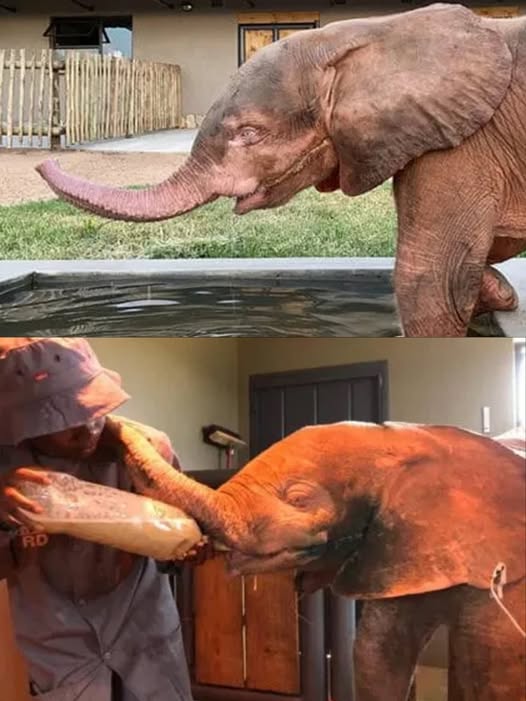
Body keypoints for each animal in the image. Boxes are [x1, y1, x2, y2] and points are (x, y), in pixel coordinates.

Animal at [36, 4, 526, 337]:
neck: (374, 32)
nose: (45, 160)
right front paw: (500, 293)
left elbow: (432, 279)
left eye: (250, 133)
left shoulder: (463, 143)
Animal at [104, 417, 526, 701]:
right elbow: (377, 651)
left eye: (299, 499)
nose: (116, 421)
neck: (413, 440)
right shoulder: (392, 545)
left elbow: (493, 666)